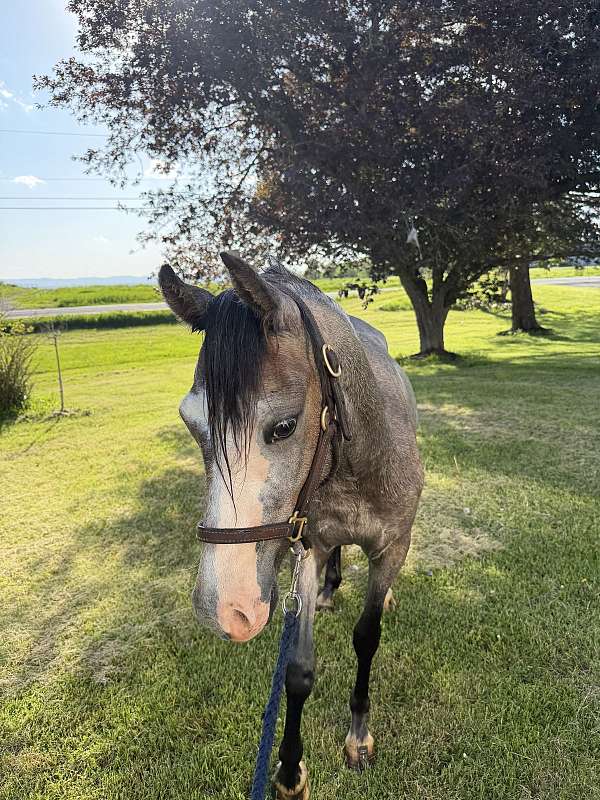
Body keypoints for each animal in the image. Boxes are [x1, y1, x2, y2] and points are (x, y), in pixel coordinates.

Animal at [158, 252, 423, 799]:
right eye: (191, 424)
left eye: (283, 426)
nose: (225, 609)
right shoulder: (311, 546)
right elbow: (298, 670)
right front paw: (289, 769)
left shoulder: (391, 547)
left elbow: (367, 637)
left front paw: (358, 737)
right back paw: (329, 589)